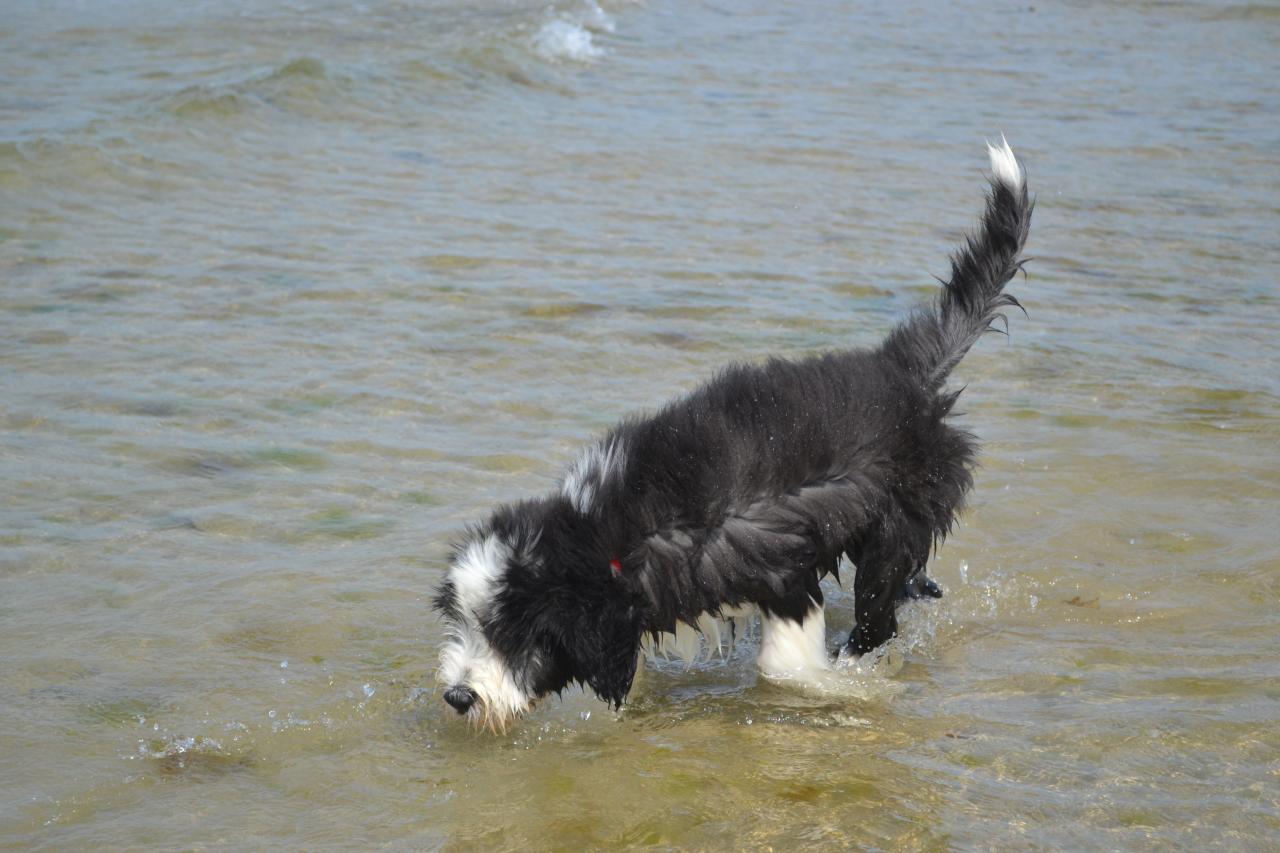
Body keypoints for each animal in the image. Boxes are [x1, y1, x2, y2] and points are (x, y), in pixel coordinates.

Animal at [435, 142, 1034, 727]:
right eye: (464, 621)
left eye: (510, 634)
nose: (459, 696)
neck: (615, 531)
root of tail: (903, 371)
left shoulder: (776, 559)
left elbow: (783, 659)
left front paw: (825, 686)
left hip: (896, 518)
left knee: (878, 613)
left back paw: (857, 656)